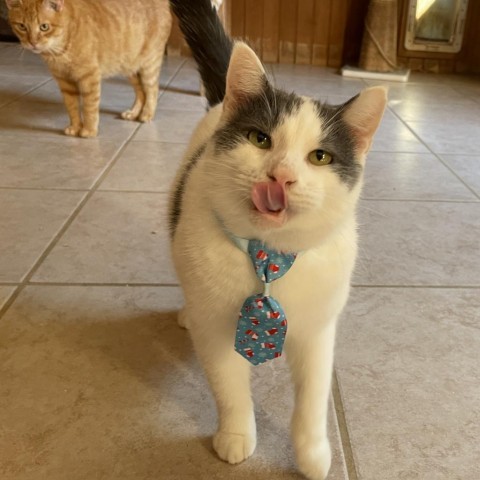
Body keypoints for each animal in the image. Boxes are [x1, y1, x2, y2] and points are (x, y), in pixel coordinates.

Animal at [5, 0, 172, 138]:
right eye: (22, 27)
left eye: (44, 27)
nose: (32, 43)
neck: (59, 50)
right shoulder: (64, 82)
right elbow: (72, 107)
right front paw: (75, 127)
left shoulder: (89, 78)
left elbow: (89, 107)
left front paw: (89, 131)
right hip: (130, 68)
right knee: (141, 93)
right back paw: (133, 113)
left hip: (148, 65)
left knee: (152, 91)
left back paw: (147, 115)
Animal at [169, 1, 386, 478]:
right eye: (259, 139)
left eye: (319, 157)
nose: (280, 176)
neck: (270, 257)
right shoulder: (217, 330)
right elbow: (229, 386)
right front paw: (236, 436)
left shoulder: (319, 330)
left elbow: (313, 396)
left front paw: (313, 453)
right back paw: (185, 313)